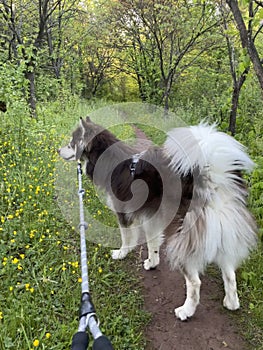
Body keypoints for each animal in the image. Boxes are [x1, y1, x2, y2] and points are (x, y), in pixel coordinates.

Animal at [58, 117, 258, 320]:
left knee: (195, 282)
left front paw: (121, 254)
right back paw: (231, 302)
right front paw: (152, 263)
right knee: (230, 273)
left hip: (182, 236)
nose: (58, 150)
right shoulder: (152, 218)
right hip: (221, 231)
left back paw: (186, 310)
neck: (109, 159)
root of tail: (210, 181)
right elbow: (152, 243)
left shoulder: (123, 213)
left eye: (71, 143)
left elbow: (127, 239)